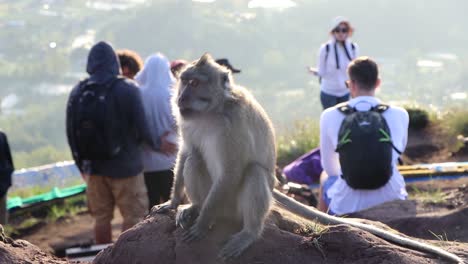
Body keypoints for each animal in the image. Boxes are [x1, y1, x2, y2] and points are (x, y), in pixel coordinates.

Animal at [155, 52, 462, 262]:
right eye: (184, 82)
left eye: (195, 83)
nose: (181, 97)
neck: (211, 111)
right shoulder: (186, 121)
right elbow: (186, 151)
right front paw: (173, 203)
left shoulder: (233, 122)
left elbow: (232, 169)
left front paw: (202, 222)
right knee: (195, 158)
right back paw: (195, 206)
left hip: (230, 205)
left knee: (253, 172)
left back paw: (247, 231)